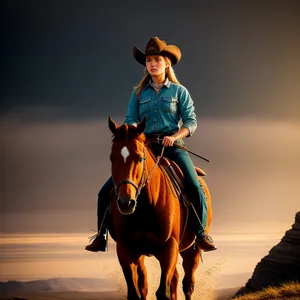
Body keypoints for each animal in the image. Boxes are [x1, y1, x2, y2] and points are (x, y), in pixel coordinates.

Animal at [106, 117, 212, 300]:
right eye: (112, 158)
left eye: (140, 158)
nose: (126, 203)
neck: (147, 206)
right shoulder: (126, 249)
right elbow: (136, 292)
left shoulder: (169, 248)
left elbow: (163, 292)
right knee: (164, 281)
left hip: (192, 250)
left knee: (188, 284)